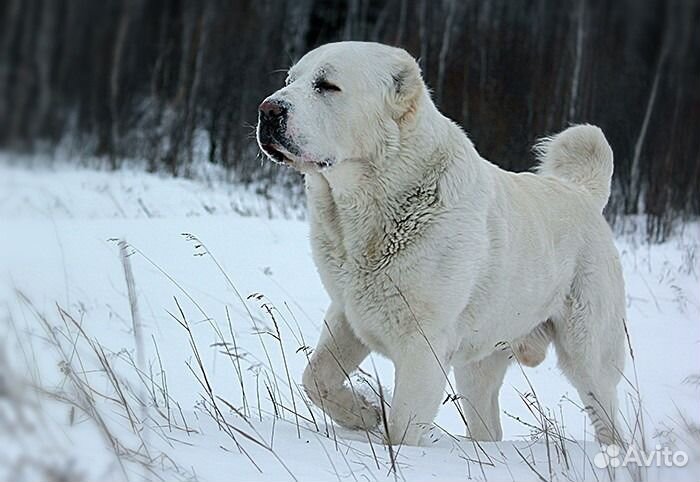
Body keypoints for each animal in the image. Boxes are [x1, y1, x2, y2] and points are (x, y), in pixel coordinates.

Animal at [258, 42, 628, 448]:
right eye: (290, 79)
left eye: (326, 86)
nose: (267, 110)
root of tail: (582, 192)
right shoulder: (347, 316)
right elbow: (316, 378)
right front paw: (364, 414)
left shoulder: (423, 347)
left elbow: (402, 429)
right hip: (479, 365)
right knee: (488, 426)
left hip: (588, 356)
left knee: (611, 419)